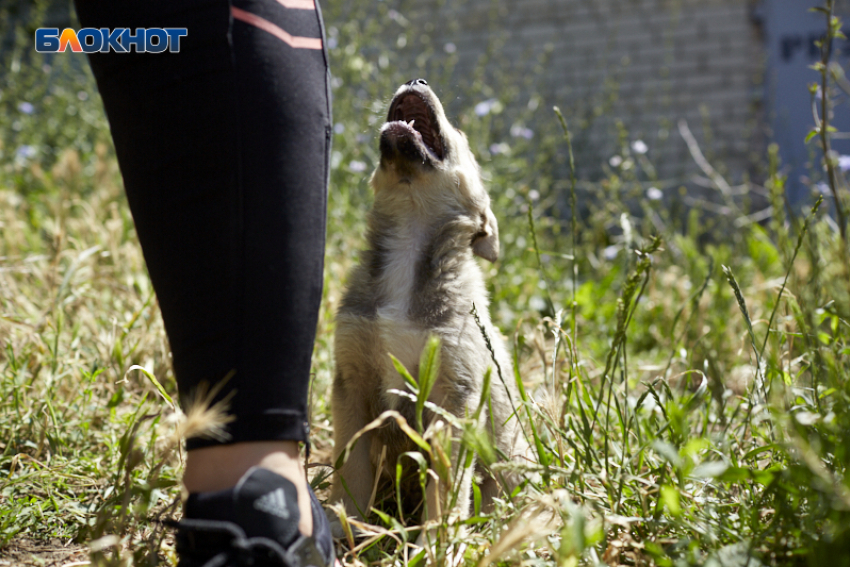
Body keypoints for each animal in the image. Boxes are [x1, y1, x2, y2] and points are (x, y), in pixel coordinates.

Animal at [326, 79, 520, 528]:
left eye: (461, 133)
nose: (417, 80)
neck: (410, 239)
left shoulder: (453, 396)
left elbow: (446, 489)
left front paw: (437, 538)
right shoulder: (351, 381)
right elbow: (351, 468)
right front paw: (347, 527)